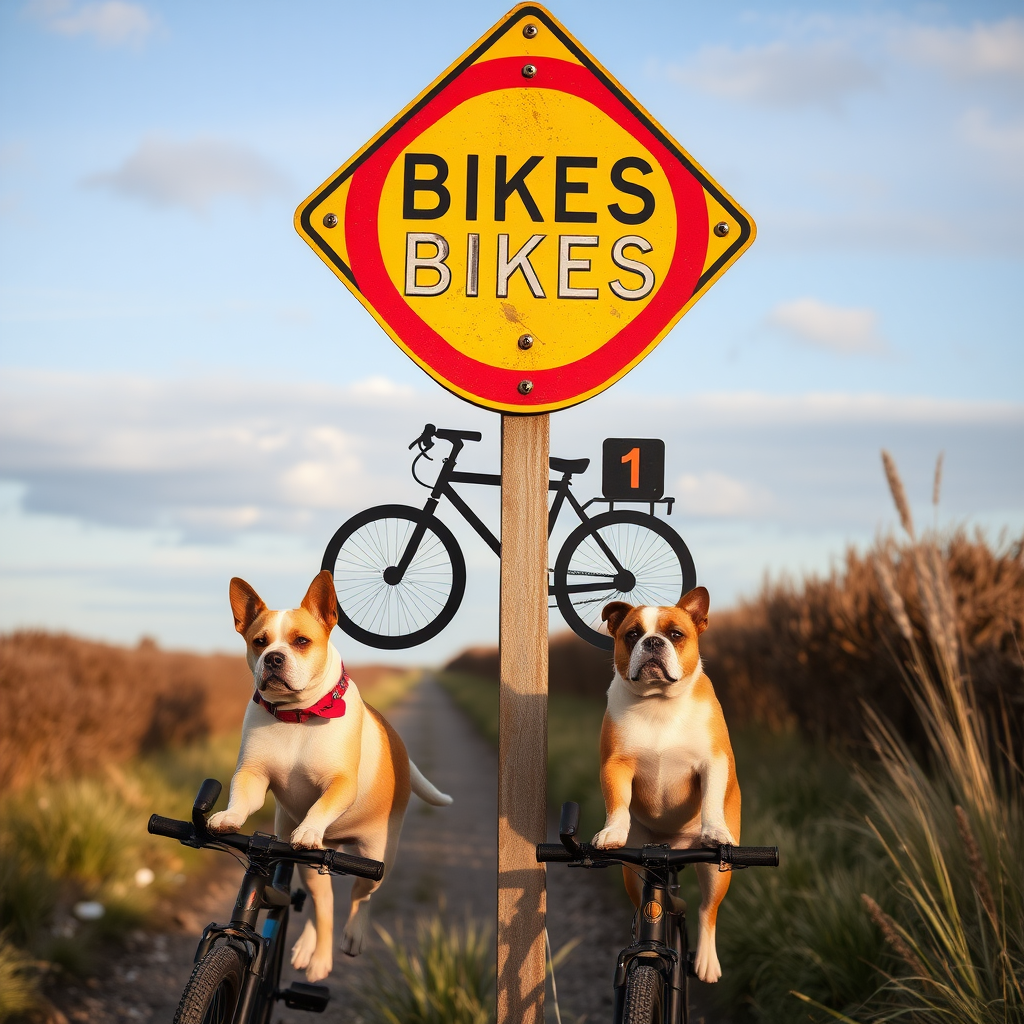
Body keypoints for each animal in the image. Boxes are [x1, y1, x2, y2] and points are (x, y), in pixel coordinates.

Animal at [205, 569, 450, 983]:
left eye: (301, 641)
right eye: (259, 641)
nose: (273, 658)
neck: (297, 716)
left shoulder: (339, 784)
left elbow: (322, 806)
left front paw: (309, 828)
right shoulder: (252, 775)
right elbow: (242, 798)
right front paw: (228, 816)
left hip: (378, 859)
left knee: (359, 899)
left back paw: (350, 938)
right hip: (309, 865)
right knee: (322, 904)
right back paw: (312, 951)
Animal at [598, 593, 741, 983]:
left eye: (675, 634)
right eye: (632, 634)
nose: (652, 642)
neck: (658, 702)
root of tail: (671, 847)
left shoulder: (712, 762)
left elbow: (711, 798)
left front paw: (714, 828)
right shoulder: (615, 765)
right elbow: (617, 801)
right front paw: (611, 830)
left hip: (715, 872)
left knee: (708, 910)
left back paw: (706, 961)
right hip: (634, 872)